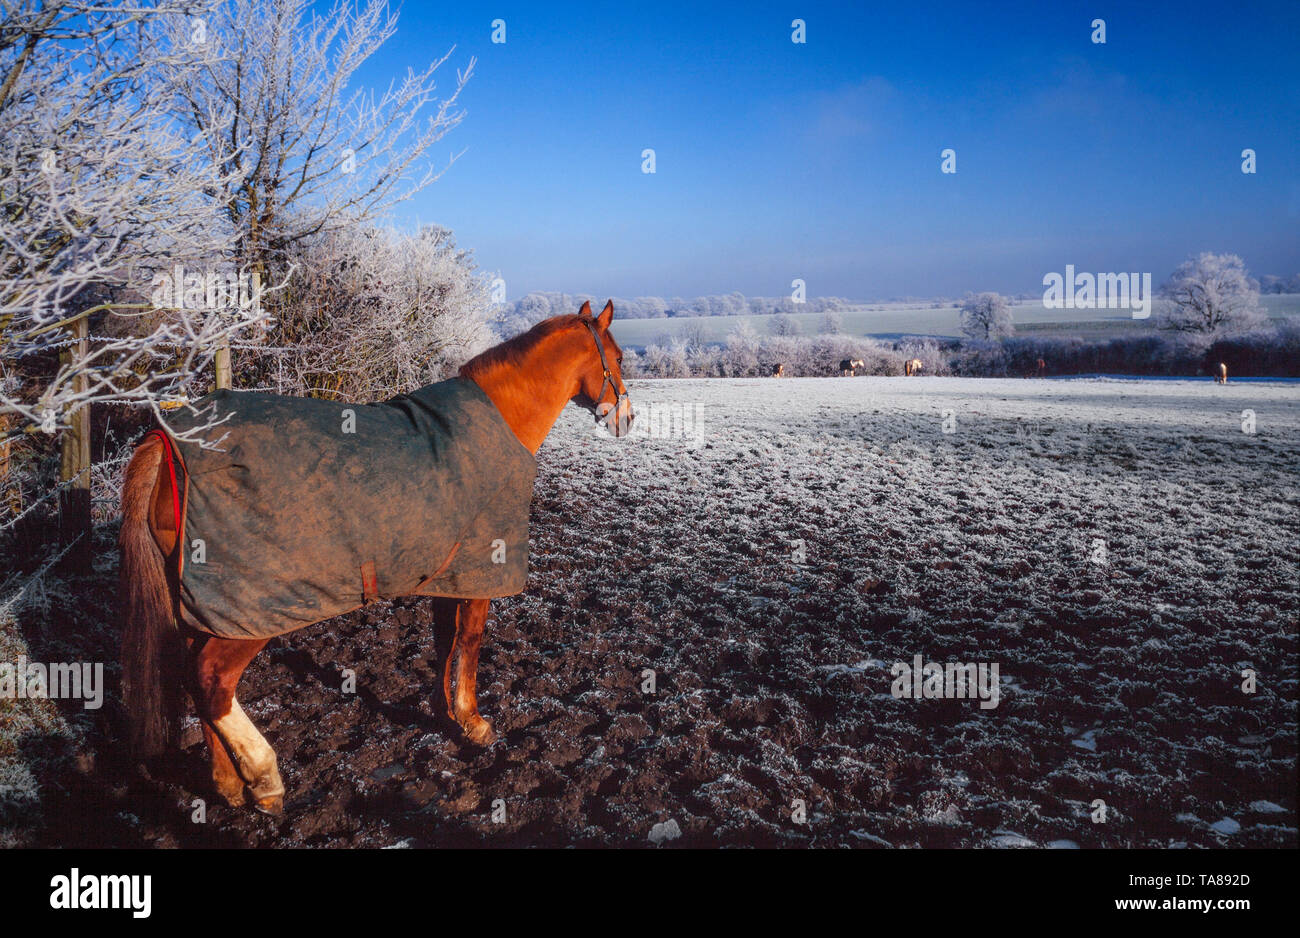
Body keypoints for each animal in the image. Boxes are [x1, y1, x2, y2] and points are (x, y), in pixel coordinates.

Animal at [119, 301, 637, 810]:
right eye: (618, 357)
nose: (627, 419)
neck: (498, 422)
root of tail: (167, 443)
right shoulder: (480, 571)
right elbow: (469, 642)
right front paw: (472, 722)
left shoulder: (445, 573)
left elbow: (444, 641)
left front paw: (443, 714)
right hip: (247, 612)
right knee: (211, 679)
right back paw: (264, 778)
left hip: (203, 608)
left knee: (194, 681)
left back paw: (227, 783)